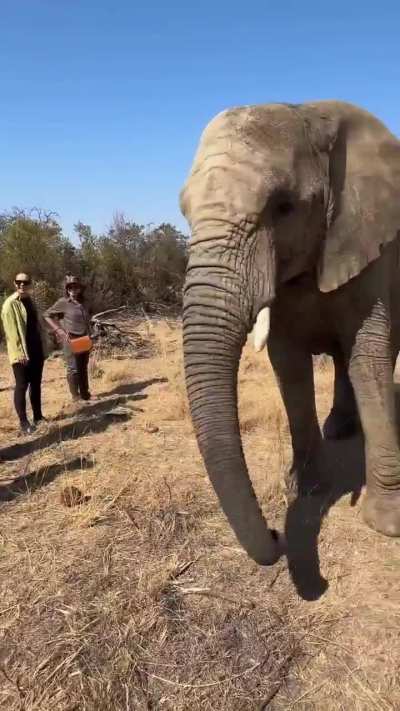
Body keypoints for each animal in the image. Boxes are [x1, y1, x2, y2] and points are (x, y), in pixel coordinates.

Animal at [180, 100, 400, 566]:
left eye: (283, 207)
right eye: (184, 212)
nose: (277, 534)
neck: (309, 114)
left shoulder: (372, 242)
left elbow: (368, 353)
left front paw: (387, 524)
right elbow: (289, 365)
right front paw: (306, 489)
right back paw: (339, 429)